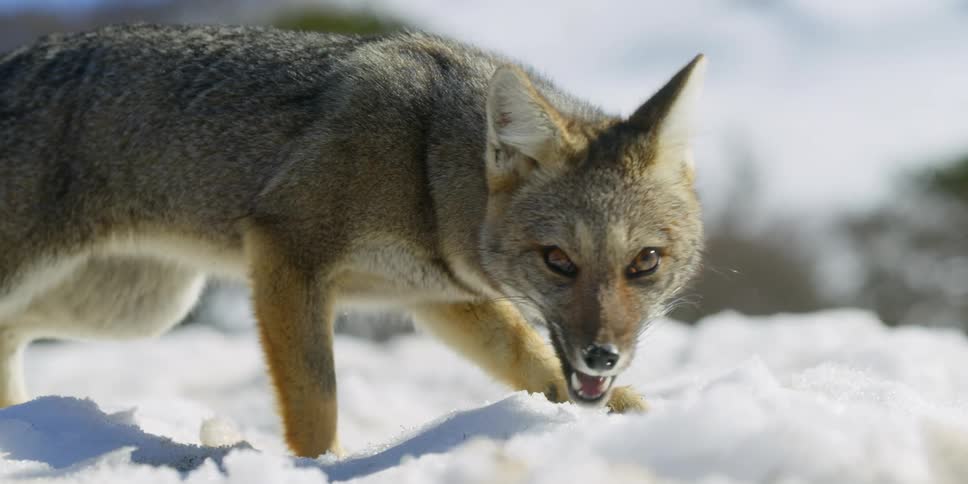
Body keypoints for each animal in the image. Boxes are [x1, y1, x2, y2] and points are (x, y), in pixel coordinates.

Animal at [0, 24, 705, 457]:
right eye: (559, 261)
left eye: (645, 263)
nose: (603, 356)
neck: (425, 169)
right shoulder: (288, 252)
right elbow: (316, 402)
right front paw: (324, 467)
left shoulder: (441, 298)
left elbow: (535, 365)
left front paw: (639, 421)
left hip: (136, 310)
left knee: (11, 334)